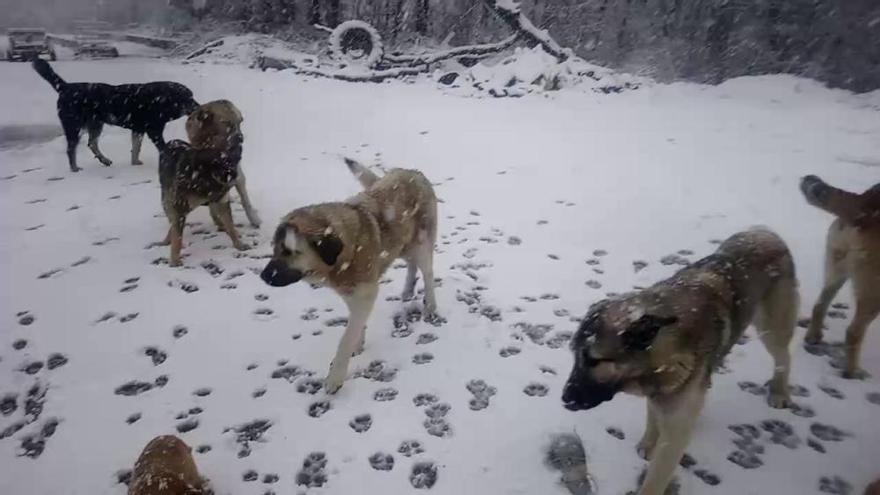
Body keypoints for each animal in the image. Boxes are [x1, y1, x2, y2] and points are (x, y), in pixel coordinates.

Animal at [32, 59, 198, 172]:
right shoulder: (153, 130)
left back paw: (104, 160)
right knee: (71, 149)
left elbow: (136, 148)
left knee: (92, 143)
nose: (198, 106)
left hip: (95, 124)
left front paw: (135, 163)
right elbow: (162, 148)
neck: (162, 99)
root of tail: (65, 87)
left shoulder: (138, 130)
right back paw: (74, 168)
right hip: (74, 126)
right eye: (189, 98)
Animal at [262, 159, 440, 396]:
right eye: (274, 249)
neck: (348, 250)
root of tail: (412, 172)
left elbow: (345, 339)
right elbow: (356, 325)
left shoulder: (365, 293)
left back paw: (430, 306)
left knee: (428, 273)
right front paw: (358, 343)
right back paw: (408, 290)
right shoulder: (353, 293)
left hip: (420, 243)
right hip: (402, 244)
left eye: (290, 252)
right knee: (412, 264)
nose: (263, 276)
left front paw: (335, 377)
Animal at [564, 229, 796, 495]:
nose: (565, 399)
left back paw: (779, 391)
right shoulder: (658, 391)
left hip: (772, 327)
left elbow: (655, 479)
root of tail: (765, 232)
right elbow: (653, 413)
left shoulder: (675, 434)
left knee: (784, 356)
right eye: (574, 354)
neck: (666, 349)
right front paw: (648, 443)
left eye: (594, 360)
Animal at [800, 174, 876, 380]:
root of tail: (863, 201)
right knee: (853, 332)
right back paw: (852, 372)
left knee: (819, 305)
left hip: (836, 270)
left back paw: (813, 338)